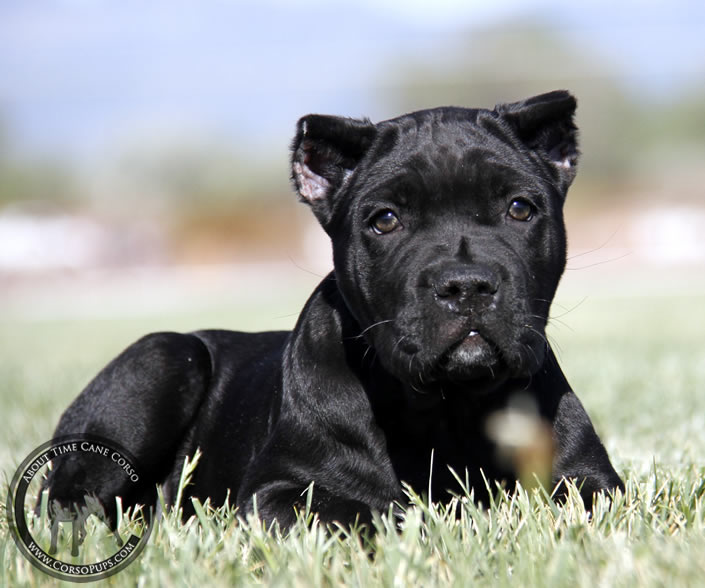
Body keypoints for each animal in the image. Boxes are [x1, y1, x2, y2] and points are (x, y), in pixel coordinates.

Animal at [44, 90, 620, 528]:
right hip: (161, 359)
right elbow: (359, 512)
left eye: (520, 208)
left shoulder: (590, 481)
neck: (445, 406)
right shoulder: (280, 490)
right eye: (384, 220)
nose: (465, 284)